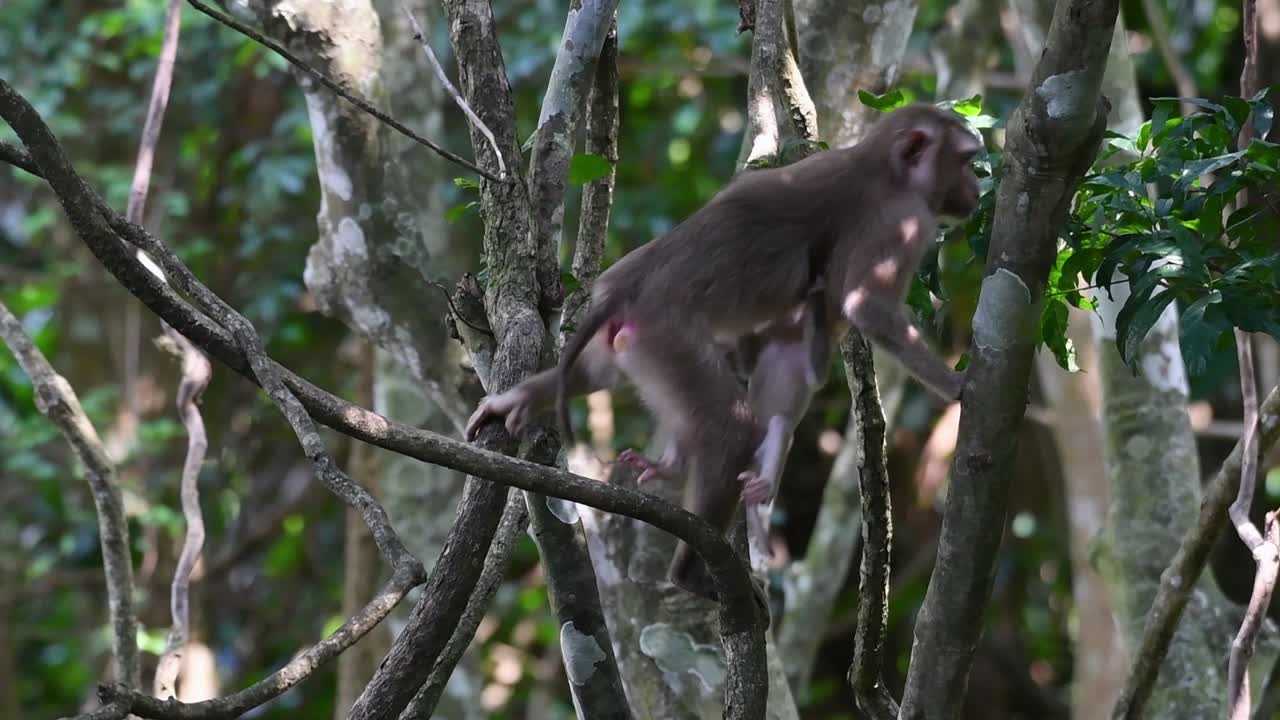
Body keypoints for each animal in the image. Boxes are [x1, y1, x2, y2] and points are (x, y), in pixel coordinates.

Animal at [465, 103, 982, 600]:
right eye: (966, 160)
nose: (976, 189)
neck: (883, 165)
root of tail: (629, 287)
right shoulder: (903, 221)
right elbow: (866, 307)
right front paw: (957, 386)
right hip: (666, 338)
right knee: (733, 430)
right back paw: (689, 572)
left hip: (627, 341)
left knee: (600, 373)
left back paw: (527, 401)